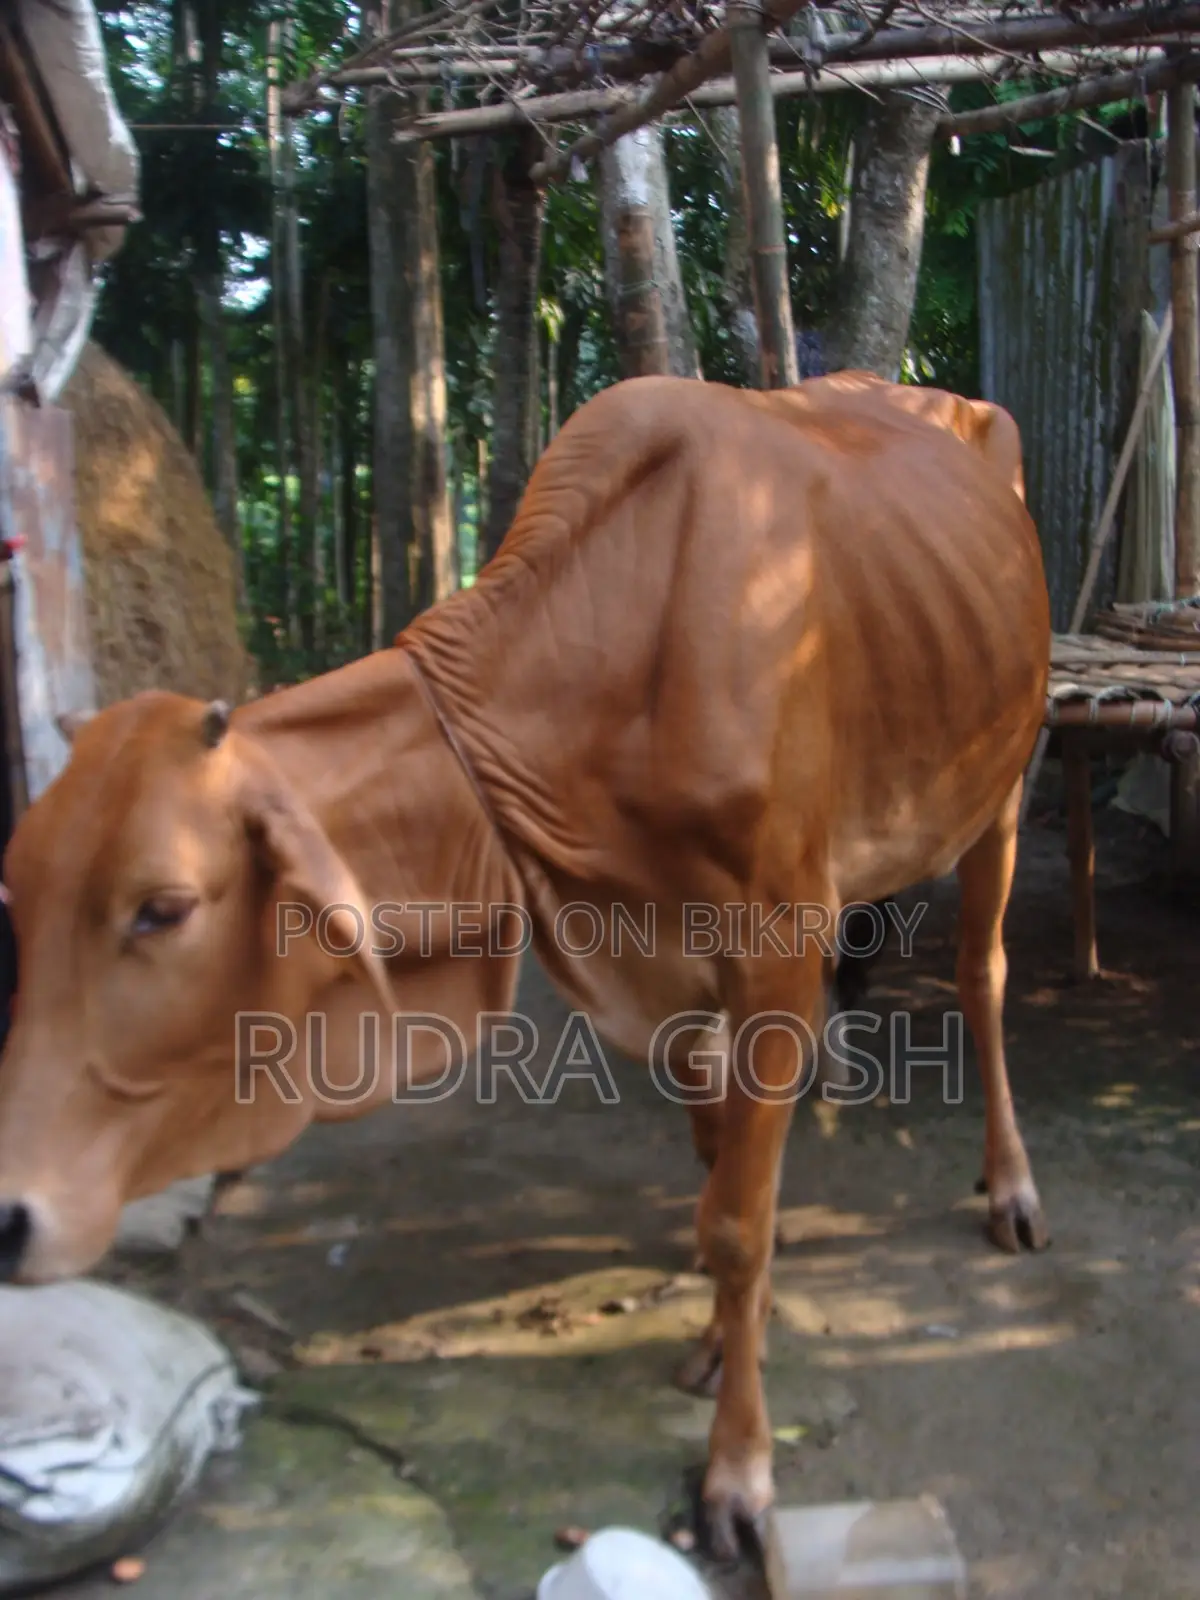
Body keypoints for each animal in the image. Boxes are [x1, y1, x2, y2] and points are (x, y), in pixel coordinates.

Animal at [0, 370, 1049, 1558]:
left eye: (162, 907)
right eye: (19, 890)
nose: (11, 1216)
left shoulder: (779, 940)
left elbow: (735, 1225)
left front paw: (738, 1470)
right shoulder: (668, 960)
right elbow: (717, 1172)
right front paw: (723, 1335)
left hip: (1002, 786)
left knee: (982, 974)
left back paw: (1011, 1185)